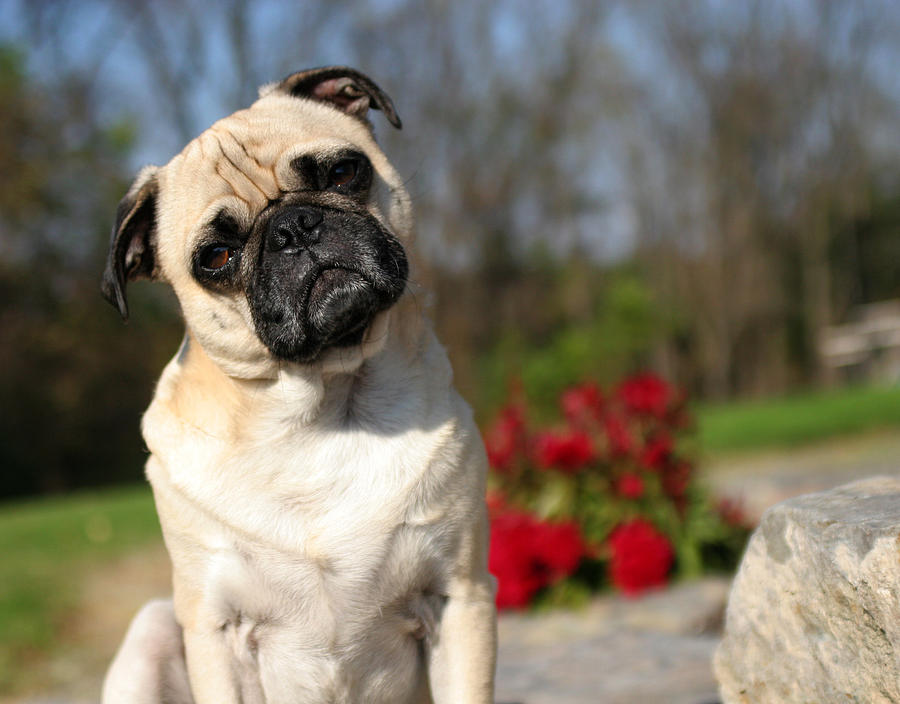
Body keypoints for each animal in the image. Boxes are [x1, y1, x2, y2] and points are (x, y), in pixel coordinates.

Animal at [102, 66, 502, 704]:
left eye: (342, 173)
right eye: (217, 256)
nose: (294, 227)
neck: (322, 407)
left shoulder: (459, 596)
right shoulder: (215, 630)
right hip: (153, 629)